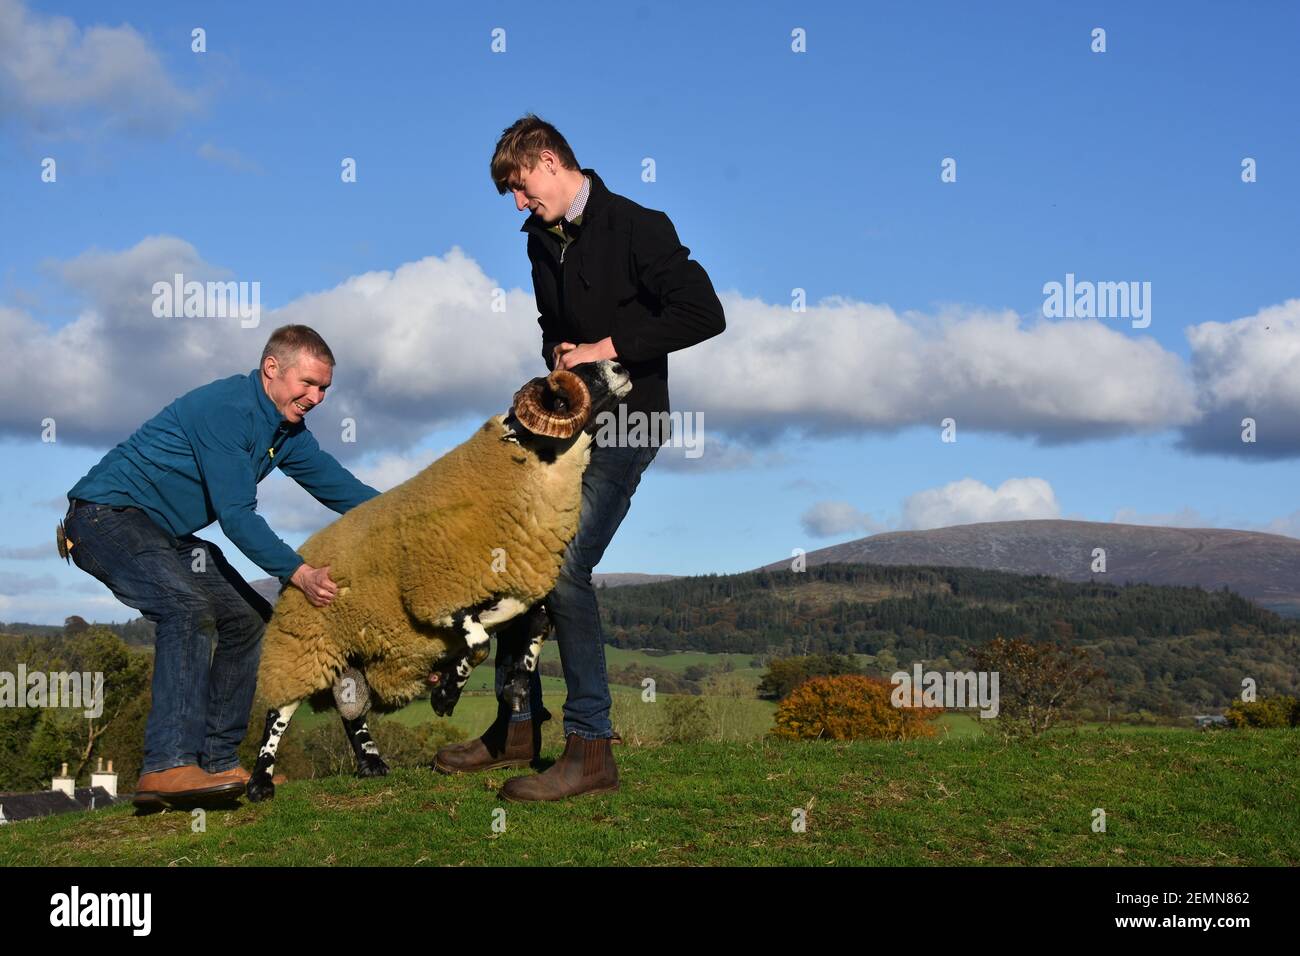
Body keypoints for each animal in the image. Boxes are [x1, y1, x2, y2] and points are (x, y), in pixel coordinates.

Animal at [245, 360, 633, 802]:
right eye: (573, 383)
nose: (620, 366)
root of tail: (304, 556)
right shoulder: (434, 596)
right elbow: (479, 644)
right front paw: (446, 694)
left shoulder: (524, 595)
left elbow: (529, 642)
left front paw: (511, 690)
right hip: (302, 645)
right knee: (278, 713)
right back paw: (260, 783)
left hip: (350, 652)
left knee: (351, 710)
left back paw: (371, 763)